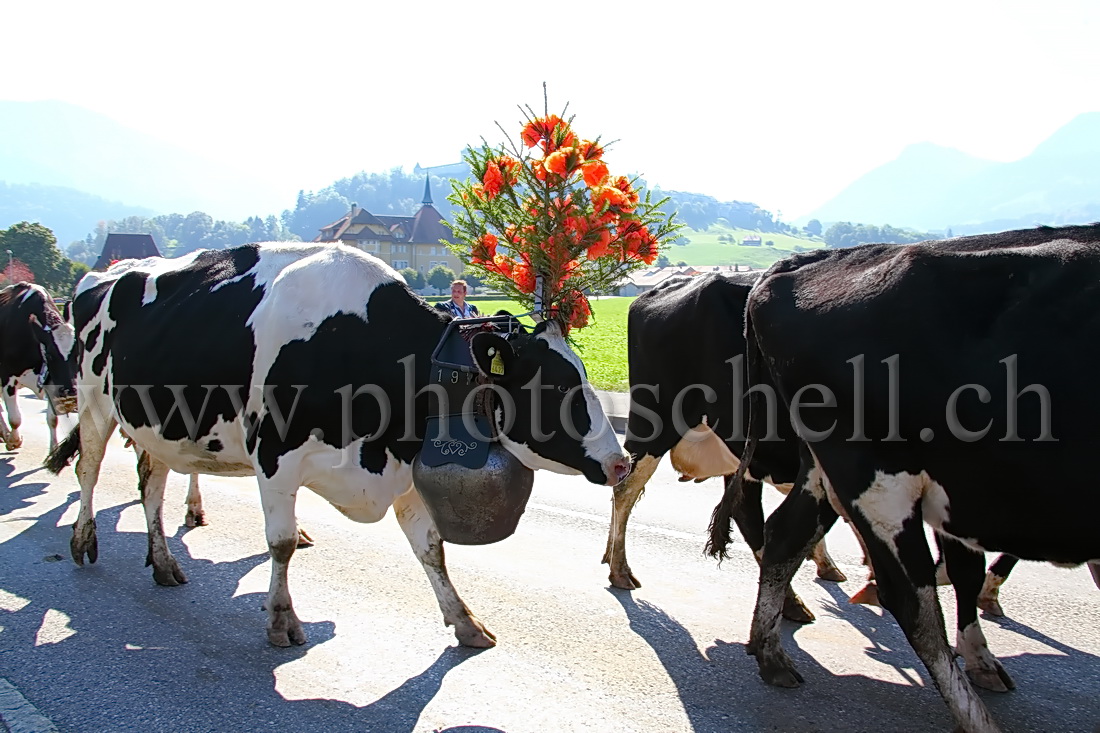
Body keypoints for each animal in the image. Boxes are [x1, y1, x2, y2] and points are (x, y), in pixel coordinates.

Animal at [0, 281, 78, 449]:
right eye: (50, 355)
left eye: (78, 354)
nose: (71, 391)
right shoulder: (7, 377)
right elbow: (15, 418)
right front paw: (14, 440)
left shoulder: (51, 381)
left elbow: (53, 419)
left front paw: (54, 448)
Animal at [45, 244, 629, 647]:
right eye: (556, 387)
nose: (620, 462)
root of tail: (106, 274)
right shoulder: (275, 457)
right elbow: (280, 544)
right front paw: (282, 620)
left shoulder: (405, 469)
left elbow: (432, 550)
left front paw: (465, 622)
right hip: (95, 403)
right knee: (89, 471)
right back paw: (83, 540)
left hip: (159, 429)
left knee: (150, 485)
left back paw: (163, 562)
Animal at [721, 222, 1100, 730]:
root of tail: (808, 261)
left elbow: (968, 568)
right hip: (875, 474)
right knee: (910, 598)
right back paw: (976, 716)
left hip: (835, 468)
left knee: (786, 533)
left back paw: (772, 653)